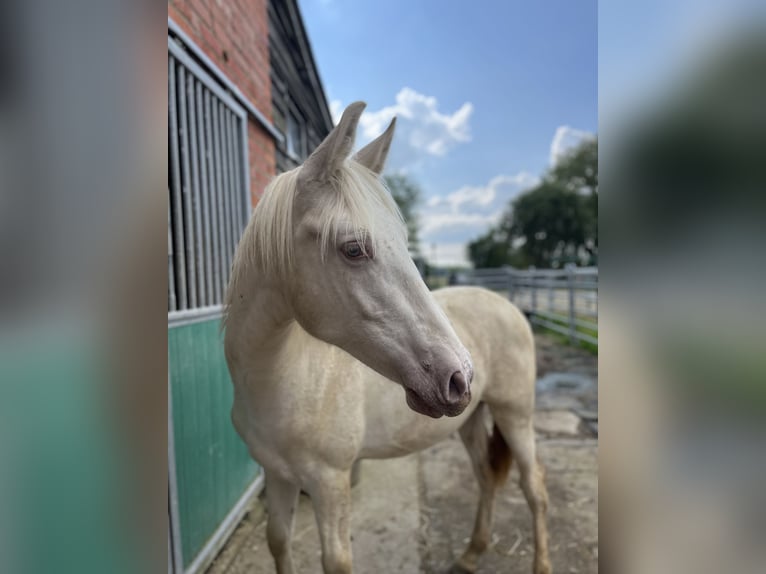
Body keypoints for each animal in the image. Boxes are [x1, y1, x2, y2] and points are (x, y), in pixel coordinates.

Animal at [222, 103, 552, 574]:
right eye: (353, 248)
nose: (458, 377)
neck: (284, 380)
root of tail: (508, 306)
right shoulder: (278, 476)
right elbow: (279, 541)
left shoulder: (330, 482)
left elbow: (335, 561)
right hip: (472, 420)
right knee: (486, 478)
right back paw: (470, 554)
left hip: (515, 415)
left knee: (534, 487)